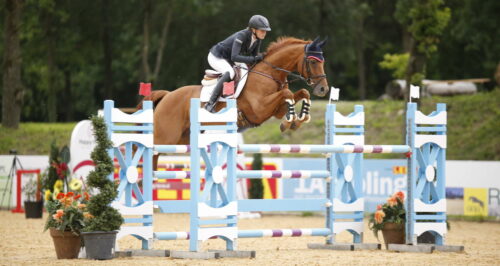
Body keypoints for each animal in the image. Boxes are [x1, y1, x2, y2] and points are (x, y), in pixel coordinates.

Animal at [139, 37, 330, 168]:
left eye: (323, 62)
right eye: (312, 62)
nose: (323, 89)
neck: (270, 74)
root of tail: (167, 96)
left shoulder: (276, 110)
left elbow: (301, 93)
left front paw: (296, 121)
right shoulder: (260, 109)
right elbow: (287, 93)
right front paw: (290, 121)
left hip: (181, 139)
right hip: (166, 137)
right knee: (147, 151)